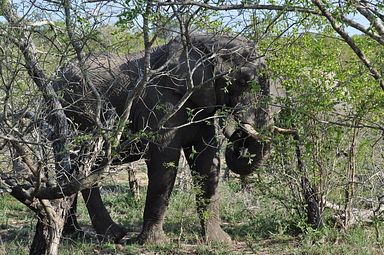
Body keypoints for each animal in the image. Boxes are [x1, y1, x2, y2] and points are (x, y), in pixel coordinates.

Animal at [56, 33, 272, 243]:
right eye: (243, 81)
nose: (236, 130)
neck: (205, 40)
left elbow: (206, 161)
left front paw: (220, 242)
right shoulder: (160, 104)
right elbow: (164, 160)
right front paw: (155, 243)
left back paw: (74, 234)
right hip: (78, 114)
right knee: (83, 168)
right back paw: (113, 235)